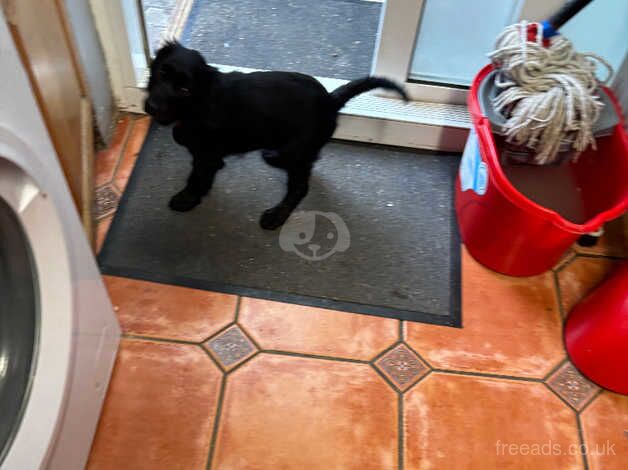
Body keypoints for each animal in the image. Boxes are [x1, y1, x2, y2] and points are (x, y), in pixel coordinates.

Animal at [145, 42, 410, 229]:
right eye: (161, 72)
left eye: (184, 89)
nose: (152, 107)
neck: (196, 104)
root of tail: (329, 100)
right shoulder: (206, 153)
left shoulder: (206, 155)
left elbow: (197, 177)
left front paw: (187, 198)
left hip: (285, 153)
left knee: (299, 187)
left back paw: (276, 216)